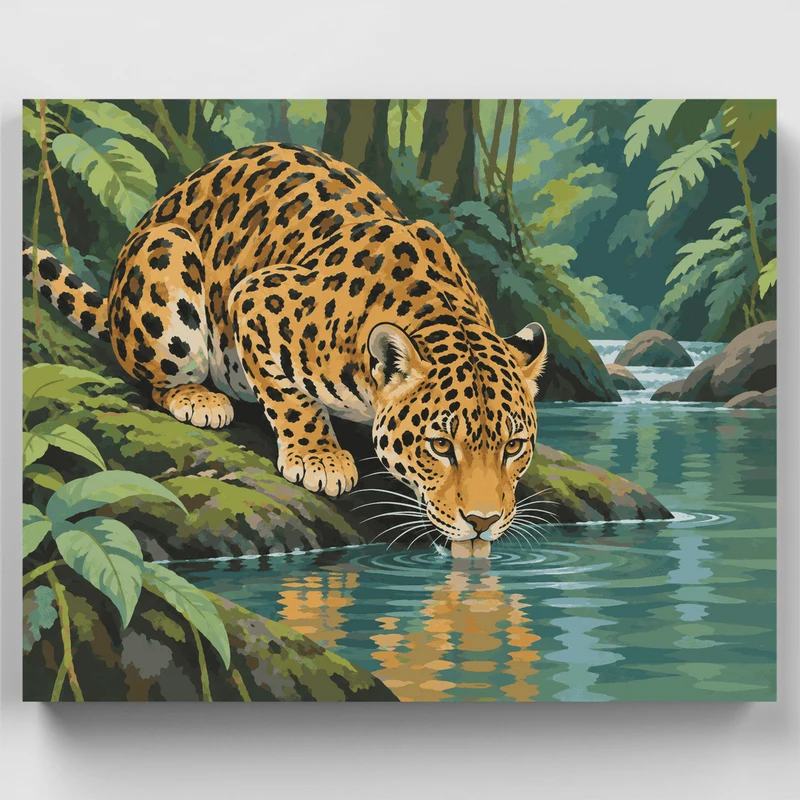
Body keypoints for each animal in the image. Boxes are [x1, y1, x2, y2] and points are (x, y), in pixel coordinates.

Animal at [23, 142, 548, 557]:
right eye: (440, 446)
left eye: (514, 446)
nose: (482, 522)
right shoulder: (256, 299)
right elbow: (292, 399)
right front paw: (319, 459)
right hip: (166, 261)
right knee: (153, 377)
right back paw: (199, 398)